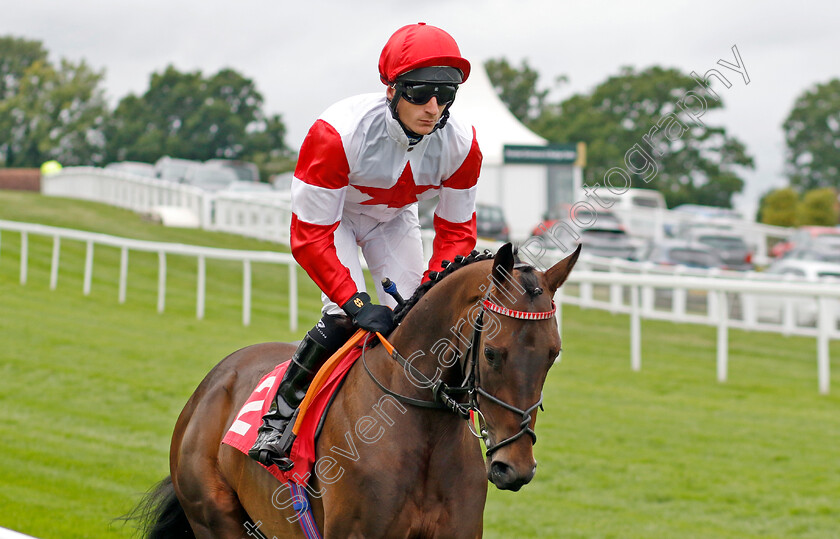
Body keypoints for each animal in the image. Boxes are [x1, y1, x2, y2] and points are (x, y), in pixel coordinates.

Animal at [136, 244, 576, 536]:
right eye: (492, 352)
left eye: (553, 353)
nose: (514, 466)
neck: (421, 432)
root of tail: (211, 384)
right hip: (214, 517)